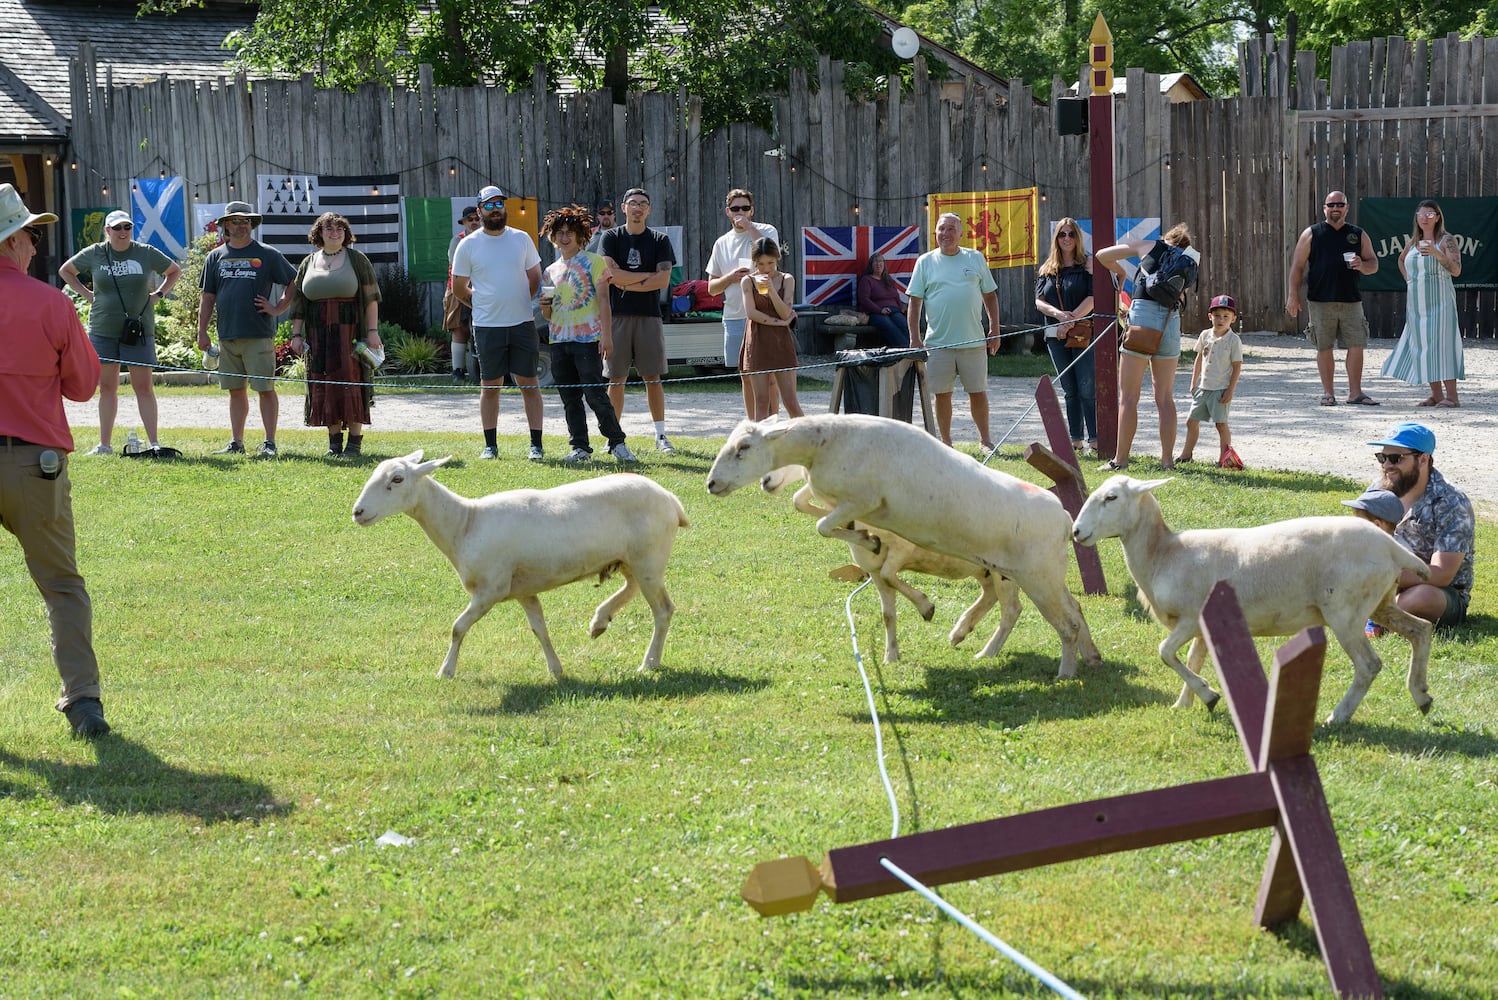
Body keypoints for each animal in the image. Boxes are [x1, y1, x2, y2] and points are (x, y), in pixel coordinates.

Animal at [356, 452, 689, 679]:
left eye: (397, 479)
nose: (357, 511)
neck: (465, 523)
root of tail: (672, 500)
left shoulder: (491, 588)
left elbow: (457, 627)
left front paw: (446, 671)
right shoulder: (523, 590)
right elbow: (539, 629)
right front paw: (556, 669)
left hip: (649, 557)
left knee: (663, 610)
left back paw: (649, 662)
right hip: (631, 559)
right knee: (632, 588)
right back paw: (599, 621)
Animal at [760, 467, 1030, 667]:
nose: (765, 481)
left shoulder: (902, 551)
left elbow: (891, 574)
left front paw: (926, 608)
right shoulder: (874, 571)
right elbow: (887, 614)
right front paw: (890, 656)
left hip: (1005, 572)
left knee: (1011, 609)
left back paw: (986, 652)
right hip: (984, 570)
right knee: (990, 595)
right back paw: (959, 632)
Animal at [1072, 473, 1432, 721]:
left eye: (1111, 497)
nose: (1076, 531)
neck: (1163, 553)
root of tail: (1392, 547)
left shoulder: (1190, 617)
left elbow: (1165, 653)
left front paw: (1207, 694)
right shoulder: (1202, 627)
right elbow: (1191, 658)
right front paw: (1186, 703)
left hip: (1346, 611)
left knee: (1369, 665)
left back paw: (1339, 716)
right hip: (1381, 604)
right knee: (1421, 630)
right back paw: (1422, 696)